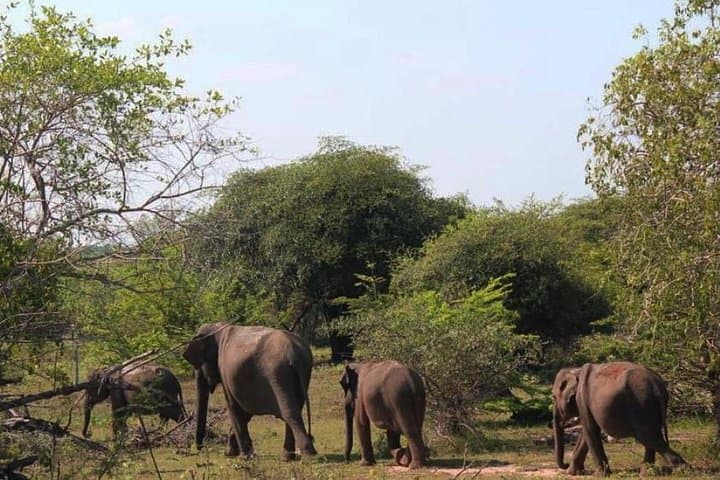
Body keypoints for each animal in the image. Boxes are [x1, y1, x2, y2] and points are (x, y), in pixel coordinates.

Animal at [182, 323, 317, 460]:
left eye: (198, 366)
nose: (200, 449)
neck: (218, 326)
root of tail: (294, 353)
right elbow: (245, 410)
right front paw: (231, 453)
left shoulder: (225, 372)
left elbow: (233, 406)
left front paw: (243, 457)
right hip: (302, 373)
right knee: (296, 408)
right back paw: (287, 458)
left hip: (278, 375)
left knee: (290, 413)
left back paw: (308, 455)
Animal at [552, 361, 686, 476]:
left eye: (553, 396)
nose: (565, 464)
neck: (576, 370)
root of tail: (657, 386)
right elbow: (586, 433)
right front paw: (573, 472)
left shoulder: (582, 399)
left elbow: (590, 430)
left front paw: (599, 475)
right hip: (650, 407)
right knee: (652, 437)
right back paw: (646, 473)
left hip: (642, 405)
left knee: (649, 437)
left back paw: (683, 470)